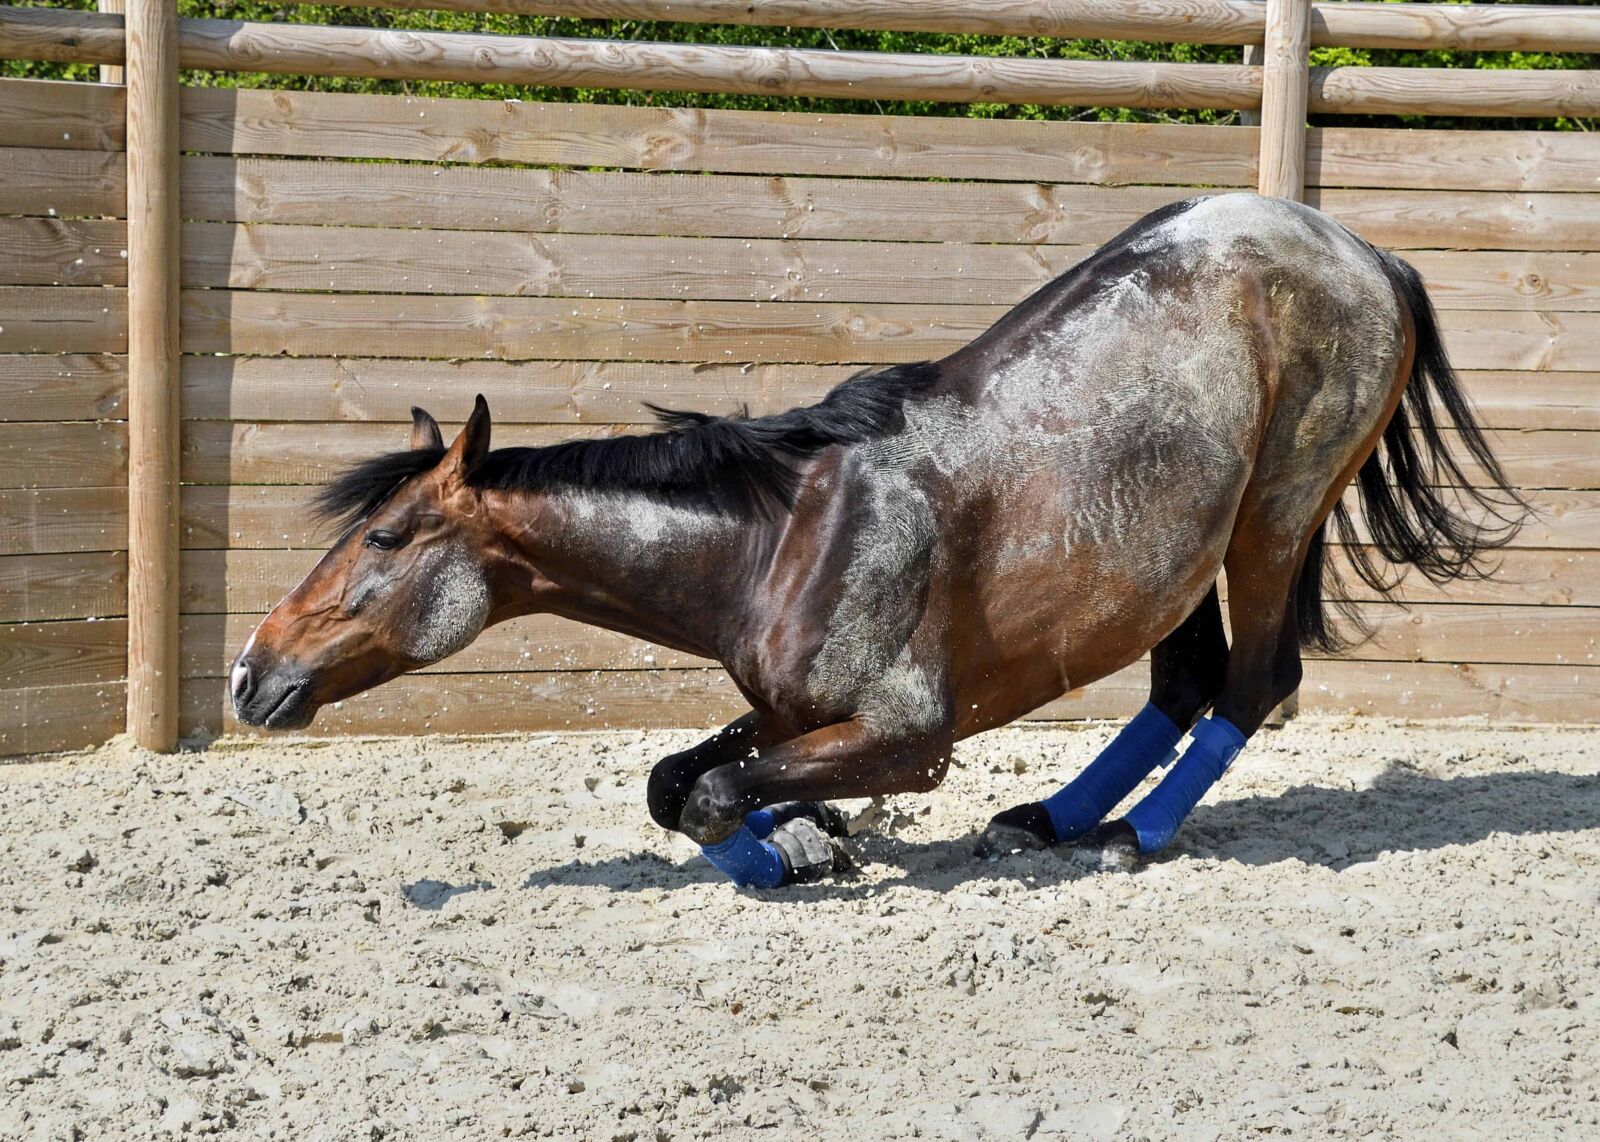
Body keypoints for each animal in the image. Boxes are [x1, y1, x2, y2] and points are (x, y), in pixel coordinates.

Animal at [229, 193, 1522, 888]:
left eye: (386, 534)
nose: (251, 669)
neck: (777, 539)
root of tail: (1369, 254)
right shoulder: (790, 707)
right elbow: (675, 781)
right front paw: (804, 831)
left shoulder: (909, 733)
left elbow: (712, 795)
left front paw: (801, 844)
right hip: (1177, 550)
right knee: (1186, 674)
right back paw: (1051, 818)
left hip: (1271, 515)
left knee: (1252, 677)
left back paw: (1129, 835)